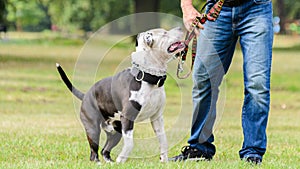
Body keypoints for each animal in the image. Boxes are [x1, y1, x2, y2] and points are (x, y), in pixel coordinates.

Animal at [55, 27, 184, 164]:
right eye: (164, 33)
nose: (180, 27)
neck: (147, 76)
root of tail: (86, 95)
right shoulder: (128, 118)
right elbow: (130, 143)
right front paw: (121, 159)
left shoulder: (157, 117)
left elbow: (163, 140)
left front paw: (164, 160)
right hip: (93, 128)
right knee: (94, 152)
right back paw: (98, 163)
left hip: (116, 132)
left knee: (105, 150)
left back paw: (110, 163)